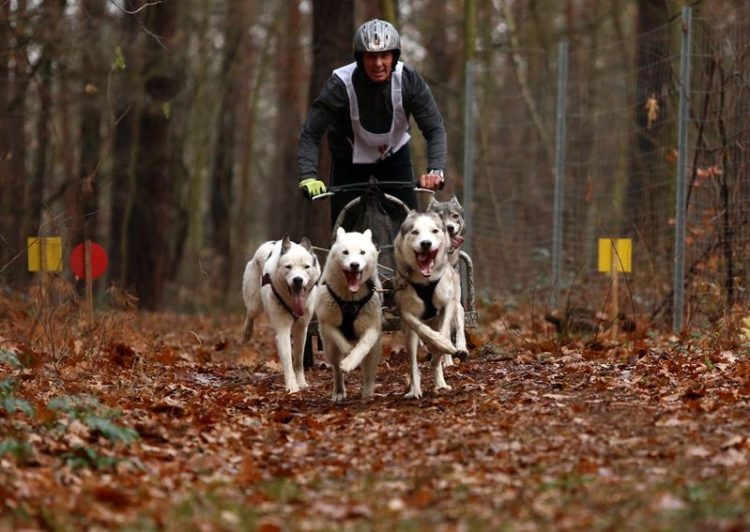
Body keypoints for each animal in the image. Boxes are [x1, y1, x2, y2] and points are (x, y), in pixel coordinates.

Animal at [242, 235, 322, 392]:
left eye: (306, 267)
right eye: (288, 267)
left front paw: (301, 382)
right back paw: (246, 333)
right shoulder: (283, 330)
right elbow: (288, 361)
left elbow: (298, 360)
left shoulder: (302, 329)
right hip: (254, 303)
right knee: (250, 314)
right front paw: (292, 386)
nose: (298, 280)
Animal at [318, 227, 388, 402]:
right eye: (345, 252)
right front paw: (348, 354)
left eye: (362, 252)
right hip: (329, 349)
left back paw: (368, 394)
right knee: (336, 369)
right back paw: (338, 392)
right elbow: (340, 340)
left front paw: (351, 361)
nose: (354, 265)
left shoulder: (372, 327)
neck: (350, 300)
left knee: (369, 373)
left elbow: (363, 346)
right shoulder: (326, 323)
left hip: (375, 352)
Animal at [396, 210, 462, 396]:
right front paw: (439, 343)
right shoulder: (405, 311)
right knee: (413, 362)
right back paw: (415, 390)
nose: (426, 243)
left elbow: (443, 332)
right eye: (415, 232)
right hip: (409, 335)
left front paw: (443, 347)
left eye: (434, 231)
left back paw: (441, 381)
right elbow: (422, 329)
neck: (425, 282)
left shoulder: (447, 304)